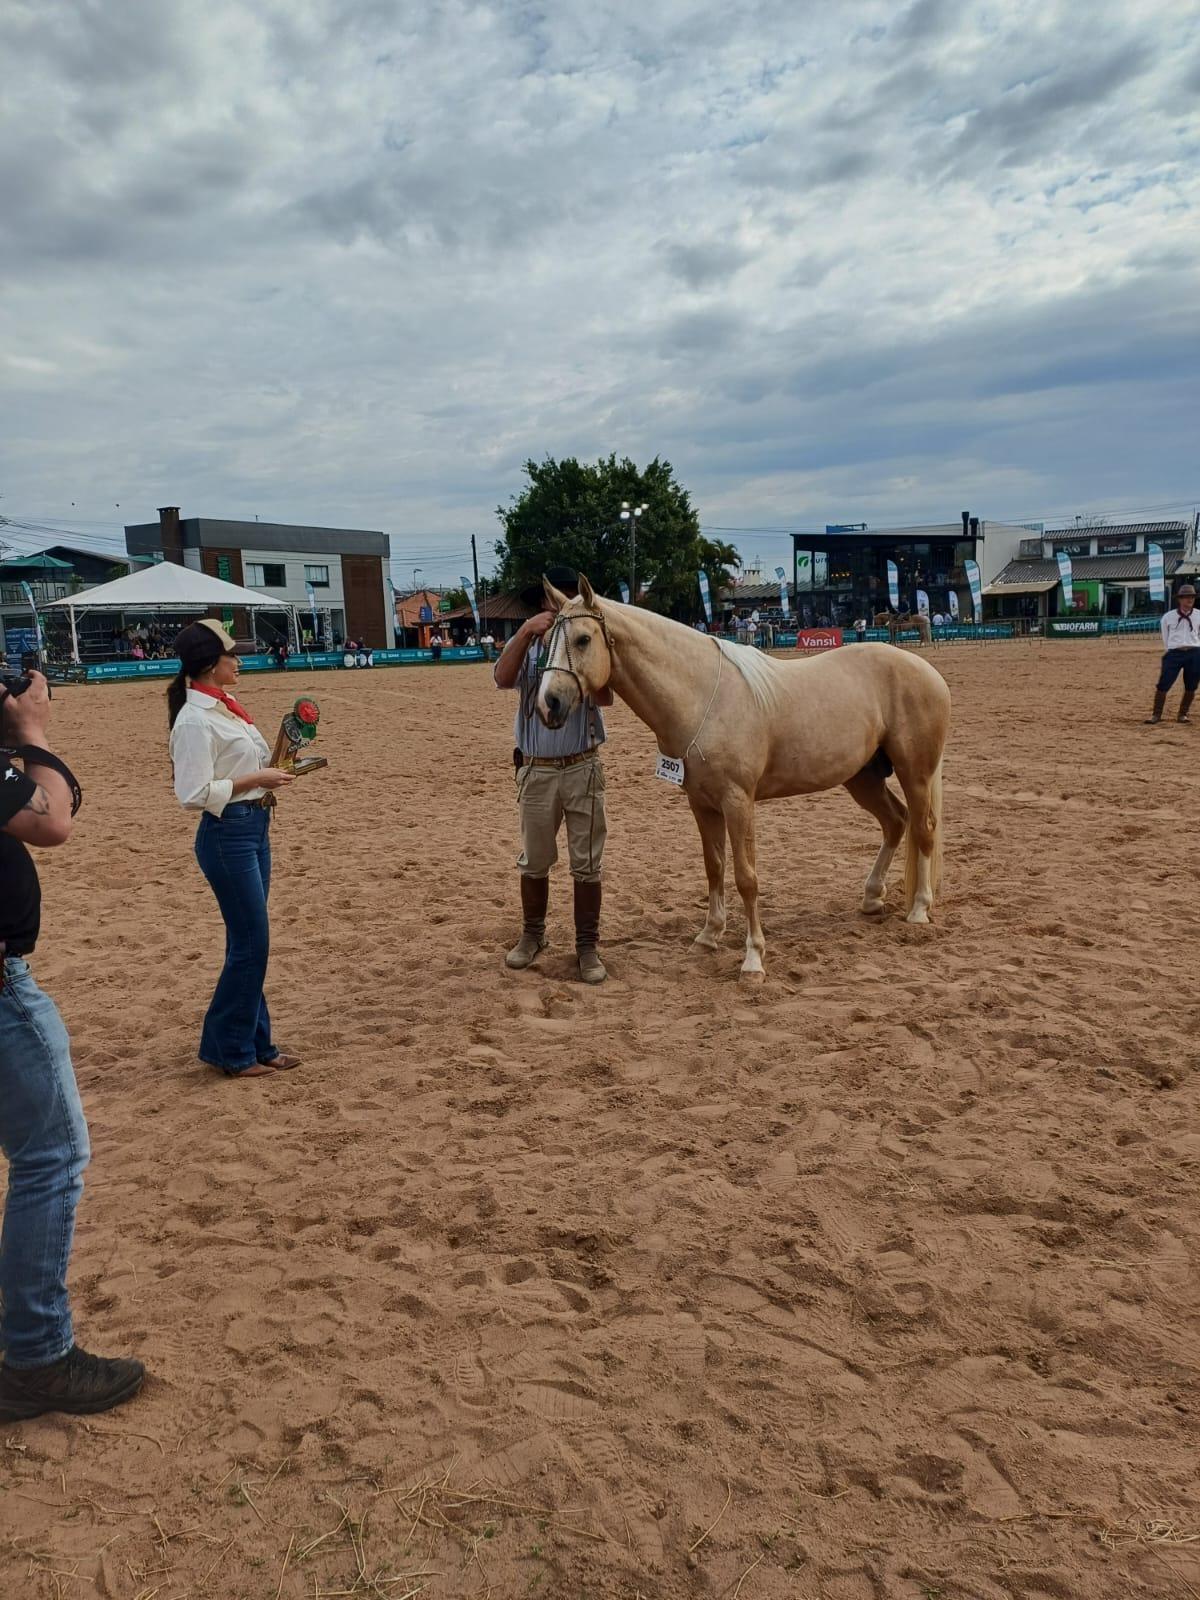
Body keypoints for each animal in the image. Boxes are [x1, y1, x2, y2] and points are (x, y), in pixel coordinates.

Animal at [537, 577, 951, 981]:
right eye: (547, 640)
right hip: (862, 779)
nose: (549, 703)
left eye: (583, 639)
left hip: (915, 774)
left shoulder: (738, 802)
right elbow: (714, 867)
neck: (703, 696)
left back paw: (919, 909)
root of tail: (926, 670)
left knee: (923, 828)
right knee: (896, 822)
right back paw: (871, 897)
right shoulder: (702, 804)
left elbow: (746, 877)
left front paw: (753, 958)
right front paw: (709, 935)